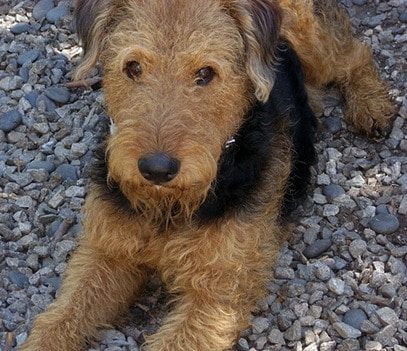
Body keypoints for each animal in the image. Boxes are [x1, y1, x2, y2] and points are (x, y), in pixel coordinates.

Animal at [19, 0, 396, 351]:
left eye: (205, 73)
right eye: (133, 67)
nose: (157, 169)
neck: (169, 207)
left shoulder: (218, 292)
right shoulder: (105, 253)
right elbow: (60, 319)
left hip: (315, 44)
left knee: (356, 54)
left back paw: (373, 107)